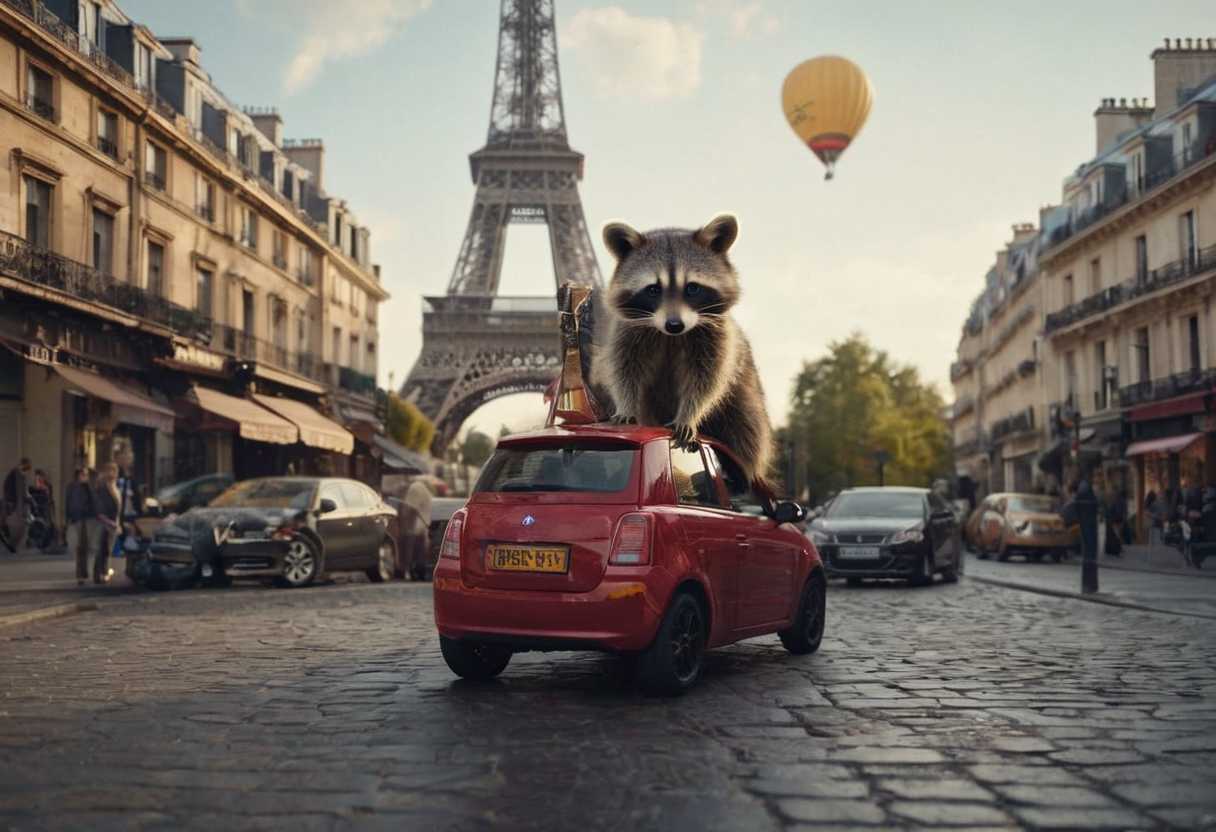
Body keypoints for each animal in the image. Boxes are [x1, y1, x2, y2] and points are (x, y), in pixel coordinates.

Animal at [594, 214, 773, 484]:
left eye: (692, 288)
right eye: (653, 289)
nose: (674, 325)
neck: (671, 337)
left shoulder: (716, 337)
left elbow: (706, 380)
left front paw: (689, 414)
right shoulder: (628, 332)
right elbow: (624, 370)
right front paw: (625, 405)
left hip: (745, 400)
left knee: (746, 433)